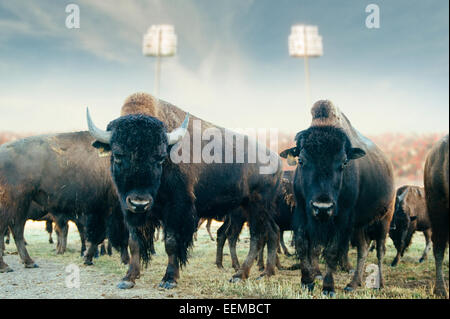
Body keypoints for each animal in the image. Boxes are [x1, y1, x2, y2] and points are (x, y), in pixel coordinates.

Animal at [86, 92, 282, 290]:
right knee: (272, 232)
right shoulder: (131, 210)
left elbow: (172, 242)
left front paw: (169, 279)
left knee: (258, 237)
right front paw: (128, 278)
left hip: (256, 206)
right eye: (118, 155)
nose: (140, 202)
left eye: (160, 157)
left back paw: (239, 275)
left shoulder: (177, 209)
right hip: (254, 209)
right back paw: (266, 272)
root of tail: (277, 160)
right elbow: (134, 242)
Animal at [278, 100, 394, 298]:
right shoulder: (302, 213)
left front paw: (328, 287)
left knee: (380, 250)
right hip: (359, 225)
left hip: (384, 219)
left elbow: (332, 251)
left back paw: (380, 284)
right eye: (301, 160)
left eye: (344, 162)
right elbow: (303, 245)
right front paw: (307, 282)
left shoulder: (342, 219)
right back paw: (353, 284)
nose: (322, 207)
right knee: (363, 249)